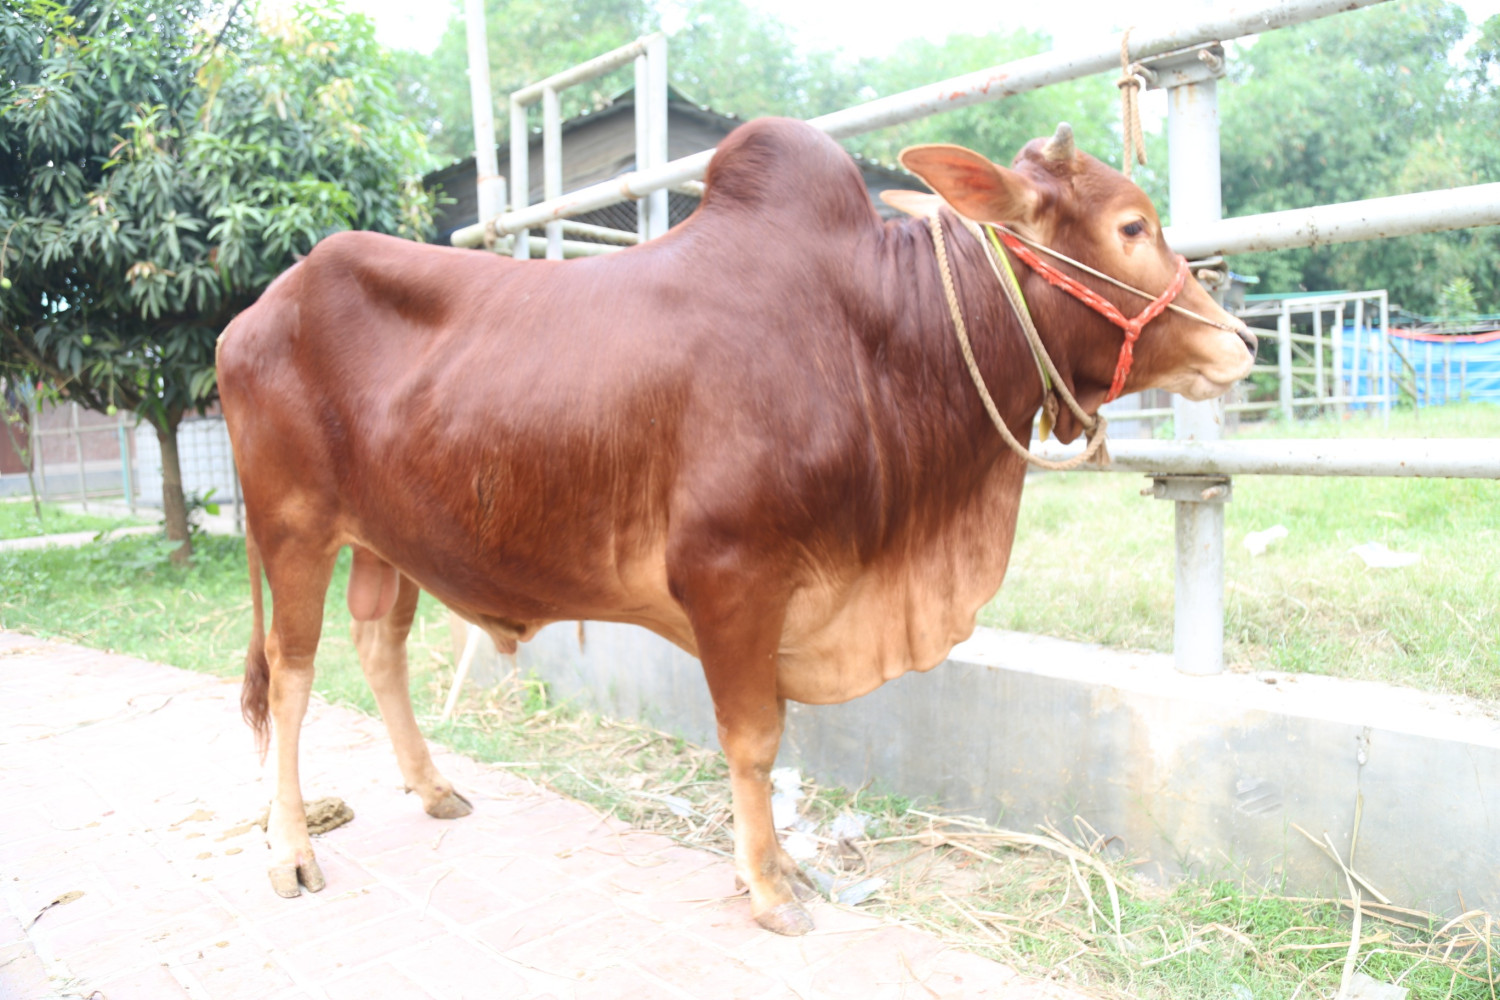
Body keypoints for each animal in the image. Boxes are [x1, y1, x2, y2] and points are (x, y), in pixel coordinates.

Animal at [216, 116, 1255, 936]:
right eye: (1132, 225)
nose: (1240, 341)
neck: (874, 336)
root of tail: (254, 315)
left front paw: (784, 865)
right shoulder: (731, 576)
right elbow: (754, 741)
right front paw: (768, 885)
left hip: (385, 540)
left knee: (378, 646)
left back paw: (431, 789)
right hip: (293, 527)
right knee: (293, 677)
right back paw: (291, 848)